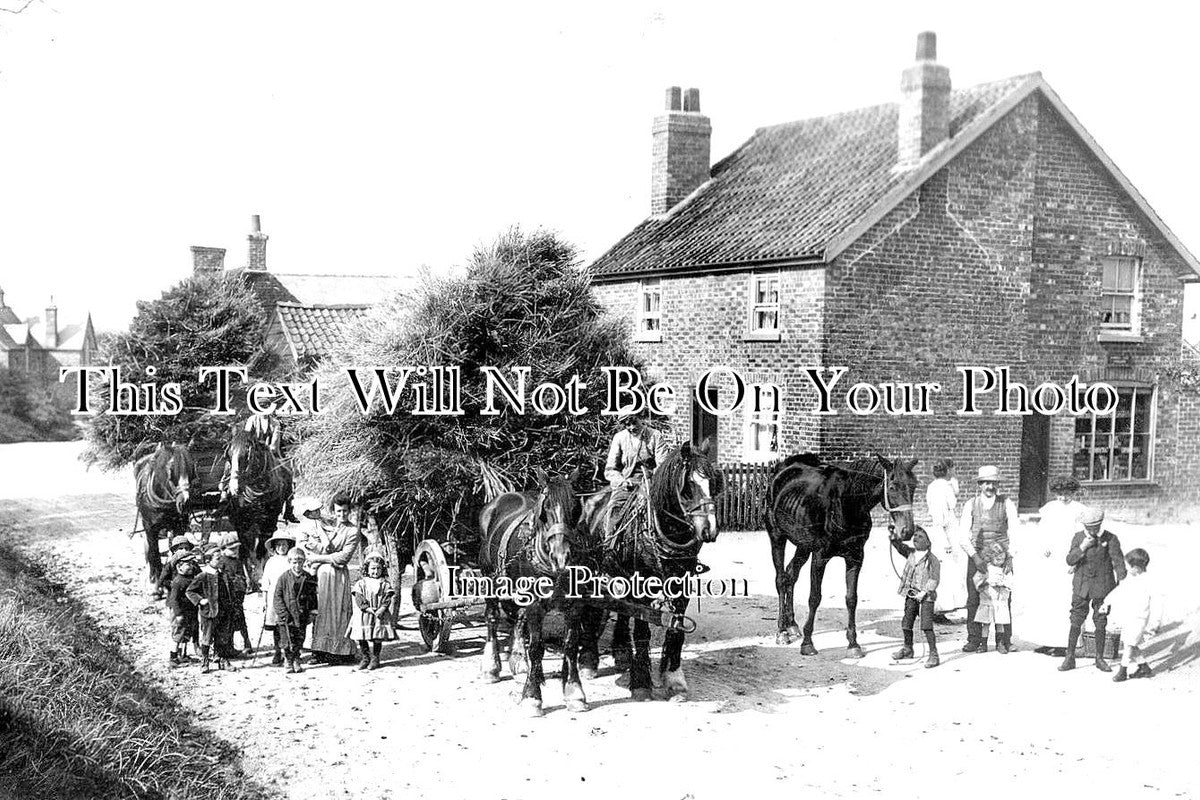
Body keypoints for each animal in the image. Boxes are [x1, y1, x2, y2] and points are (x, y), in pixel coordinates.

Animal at [133, 441, 194, 592]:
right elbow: (154, 551)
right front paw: (156, 582)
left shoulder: (179, 526)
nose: (185, 502)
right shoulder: (149, 527)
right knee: (151, 549)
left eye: (192, 468)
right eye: (171, 470)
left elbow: (179, 549)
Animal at [222, 424, 286, 587]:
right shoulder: (241, 524)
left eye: (247, 455)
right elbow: (246, 549)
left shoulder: (267, 522)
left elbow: (261, 549)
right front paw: (249, 579)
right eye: (228, 455)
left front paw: (260, 575)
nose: (234, 488)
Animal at [480, 465, 588, 714]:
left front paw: (574, 692)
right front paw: (532, 696)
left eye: (575, 507)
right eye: (545, 509)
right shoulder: (535, 605)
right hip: (490, 578)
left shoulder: (576, 604)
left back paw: (520, 664)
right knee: (492, 618)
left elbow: (571, 645)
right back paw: (492, 667)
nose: (562, 557)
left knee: (518, 620)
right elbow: (537, 647)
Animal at [578, 441, 720, 705]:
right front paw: (641, 683)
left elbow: (675, 628)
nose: (709, 530)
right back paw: (589, 660)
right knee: (595, 608)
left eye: (713, 483)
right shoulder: (641, 581)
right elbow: (643, 630)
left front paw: (674, 679)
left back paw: (622, 653)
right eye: (687, 487)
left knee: (622, 608)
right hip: (592, 569)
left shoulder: (680, 583)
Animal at [768, 453, 916, 662]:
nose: (907, 531)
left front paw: (853, 644)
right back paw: (782, 631)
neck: (847, 503)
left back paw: (792, 625)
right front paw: (808, 644)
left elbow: (851, 598)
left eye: (914, 485)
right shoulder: (820, 557)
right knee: (781, 579)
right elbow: (815, 598)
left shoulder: (855, 557)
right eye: (893, 487)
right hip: (777, 537)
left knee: (791, 575)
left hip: (803, 546)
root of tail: (783, 469)